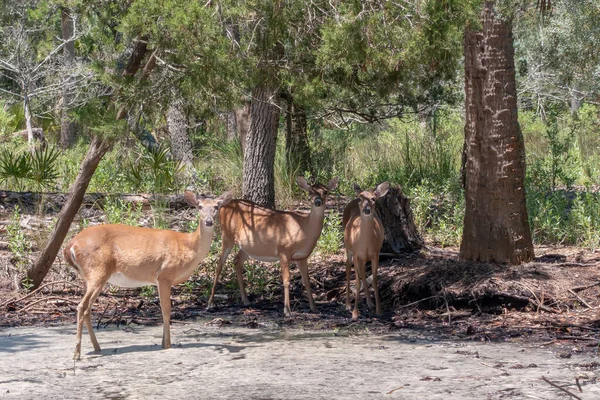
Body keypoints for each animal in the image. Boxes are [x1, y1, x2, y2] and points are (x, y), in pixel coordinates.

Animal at [63, 190, 232, 360]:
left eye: (216, 207)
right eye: (200, 206)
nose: (209, 221)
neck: (188, 246)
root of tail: (71, 245)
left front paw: (163, 342)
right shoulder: (165, 275)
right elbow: (166, 309)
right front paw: (167, 344)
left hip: (89, 276)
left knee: (88, 308)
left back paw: (97, 348)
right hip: (98, 270)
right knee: (82, 306)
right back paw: (77, 354)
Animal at [206, 177, 338, 318]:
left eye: (325, 191)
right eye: (310, 192)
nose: (318, 201)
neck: (303, 230)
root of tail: (224, 206)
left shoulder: (302, 256)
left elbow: (306, 281)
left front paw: (314, 308)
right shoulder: (283, 251)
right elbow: (286, 280)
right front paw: (287, 310)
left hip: (246, 246)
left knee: (236, 261)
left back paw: (246, 300)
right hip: (227, 235)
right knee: (219, 264)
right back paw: (210, 304)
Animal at [342, 183, 390, 320]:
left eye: (373, 198)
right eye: (360, 198)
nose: (367, 210)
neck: (366, 243)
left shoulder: (376, 253)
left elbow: (374, 280)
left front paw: (379, 310)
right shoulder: (356, 253)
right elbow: (357, 283)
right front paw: (355, 313)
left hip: (363, 257)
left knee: (362, 272)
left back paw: (370, 303)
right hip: (349, 249)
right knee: (348, 268)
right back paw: (348, 305)